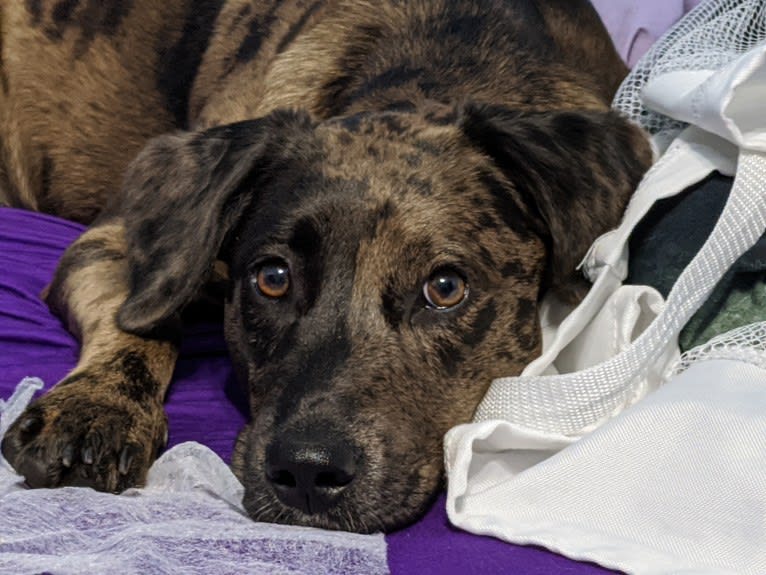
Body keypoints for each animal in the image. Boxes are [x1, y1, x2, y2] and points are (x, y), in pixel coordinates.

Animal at [0, 0, 652, 536]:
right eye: (273, 278)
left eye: (445, 287)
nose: (307, 474)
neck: (443, 62)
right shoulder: (113, 241)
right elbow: (144, 319)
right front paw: (97, 410)